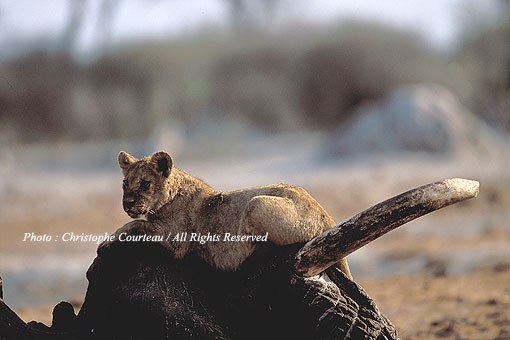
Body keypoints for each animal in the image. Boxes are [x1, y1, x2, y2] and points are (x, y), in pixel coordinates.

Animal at [101, 151, 352, 278]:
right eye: (125, 183)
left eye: (145, 184)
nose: (127, 203)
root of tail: (328, 217)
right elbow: (137, 224)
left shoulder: (176, 241)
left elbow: (136, 226)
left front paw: (105, 242)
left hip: (255, 203)